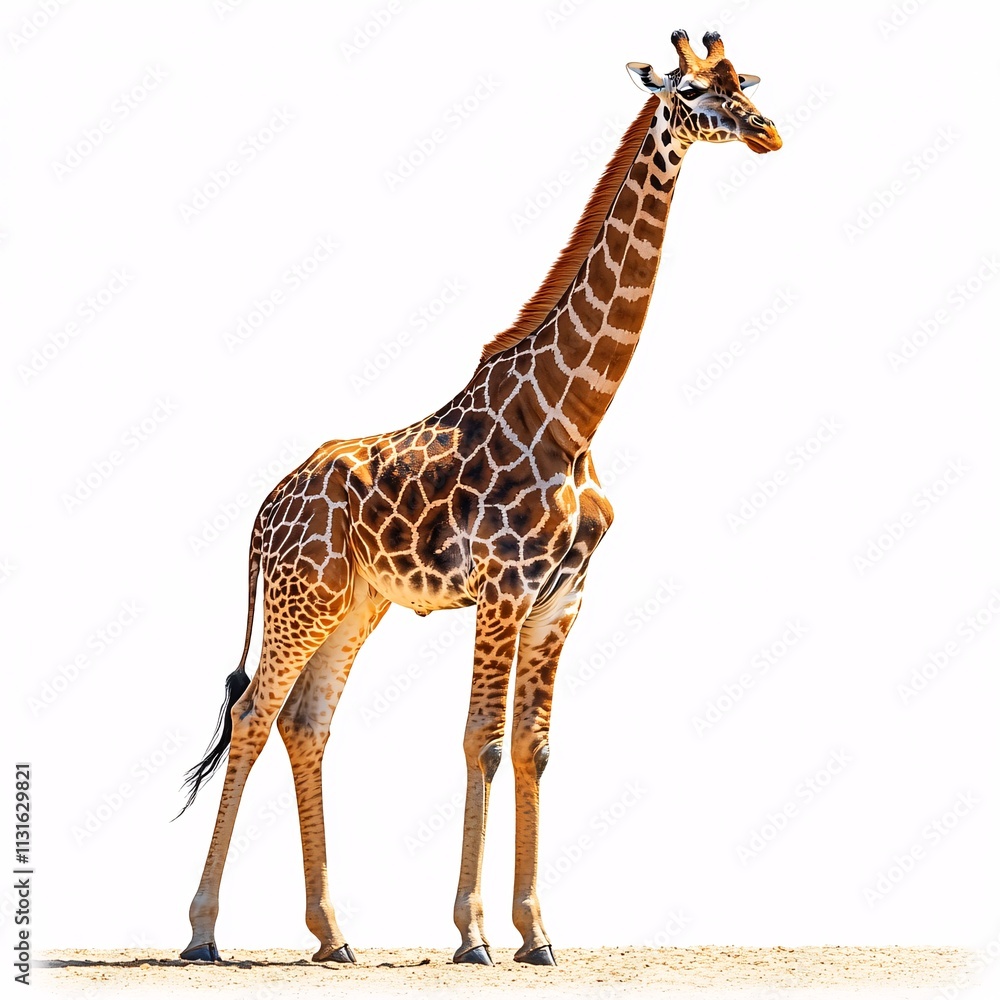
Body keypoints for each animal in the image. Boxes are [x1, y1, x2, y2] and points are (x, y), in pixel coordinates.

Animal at [179, 29, 781, 967]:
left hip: (356, 604)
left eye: (741, 81)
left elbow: (534, 748)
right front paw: (473, 934)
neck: (572, 417)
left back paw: (333, 936)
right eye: (689, 90)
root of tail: (259, 513)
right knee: (252, 713)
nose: (766, 131)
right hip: (299, 598)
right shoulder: (502, 591)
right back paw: (204, 931)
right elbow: (483, 743)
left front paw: (537, 933)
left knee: (306, 722)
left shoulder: (562, 600)